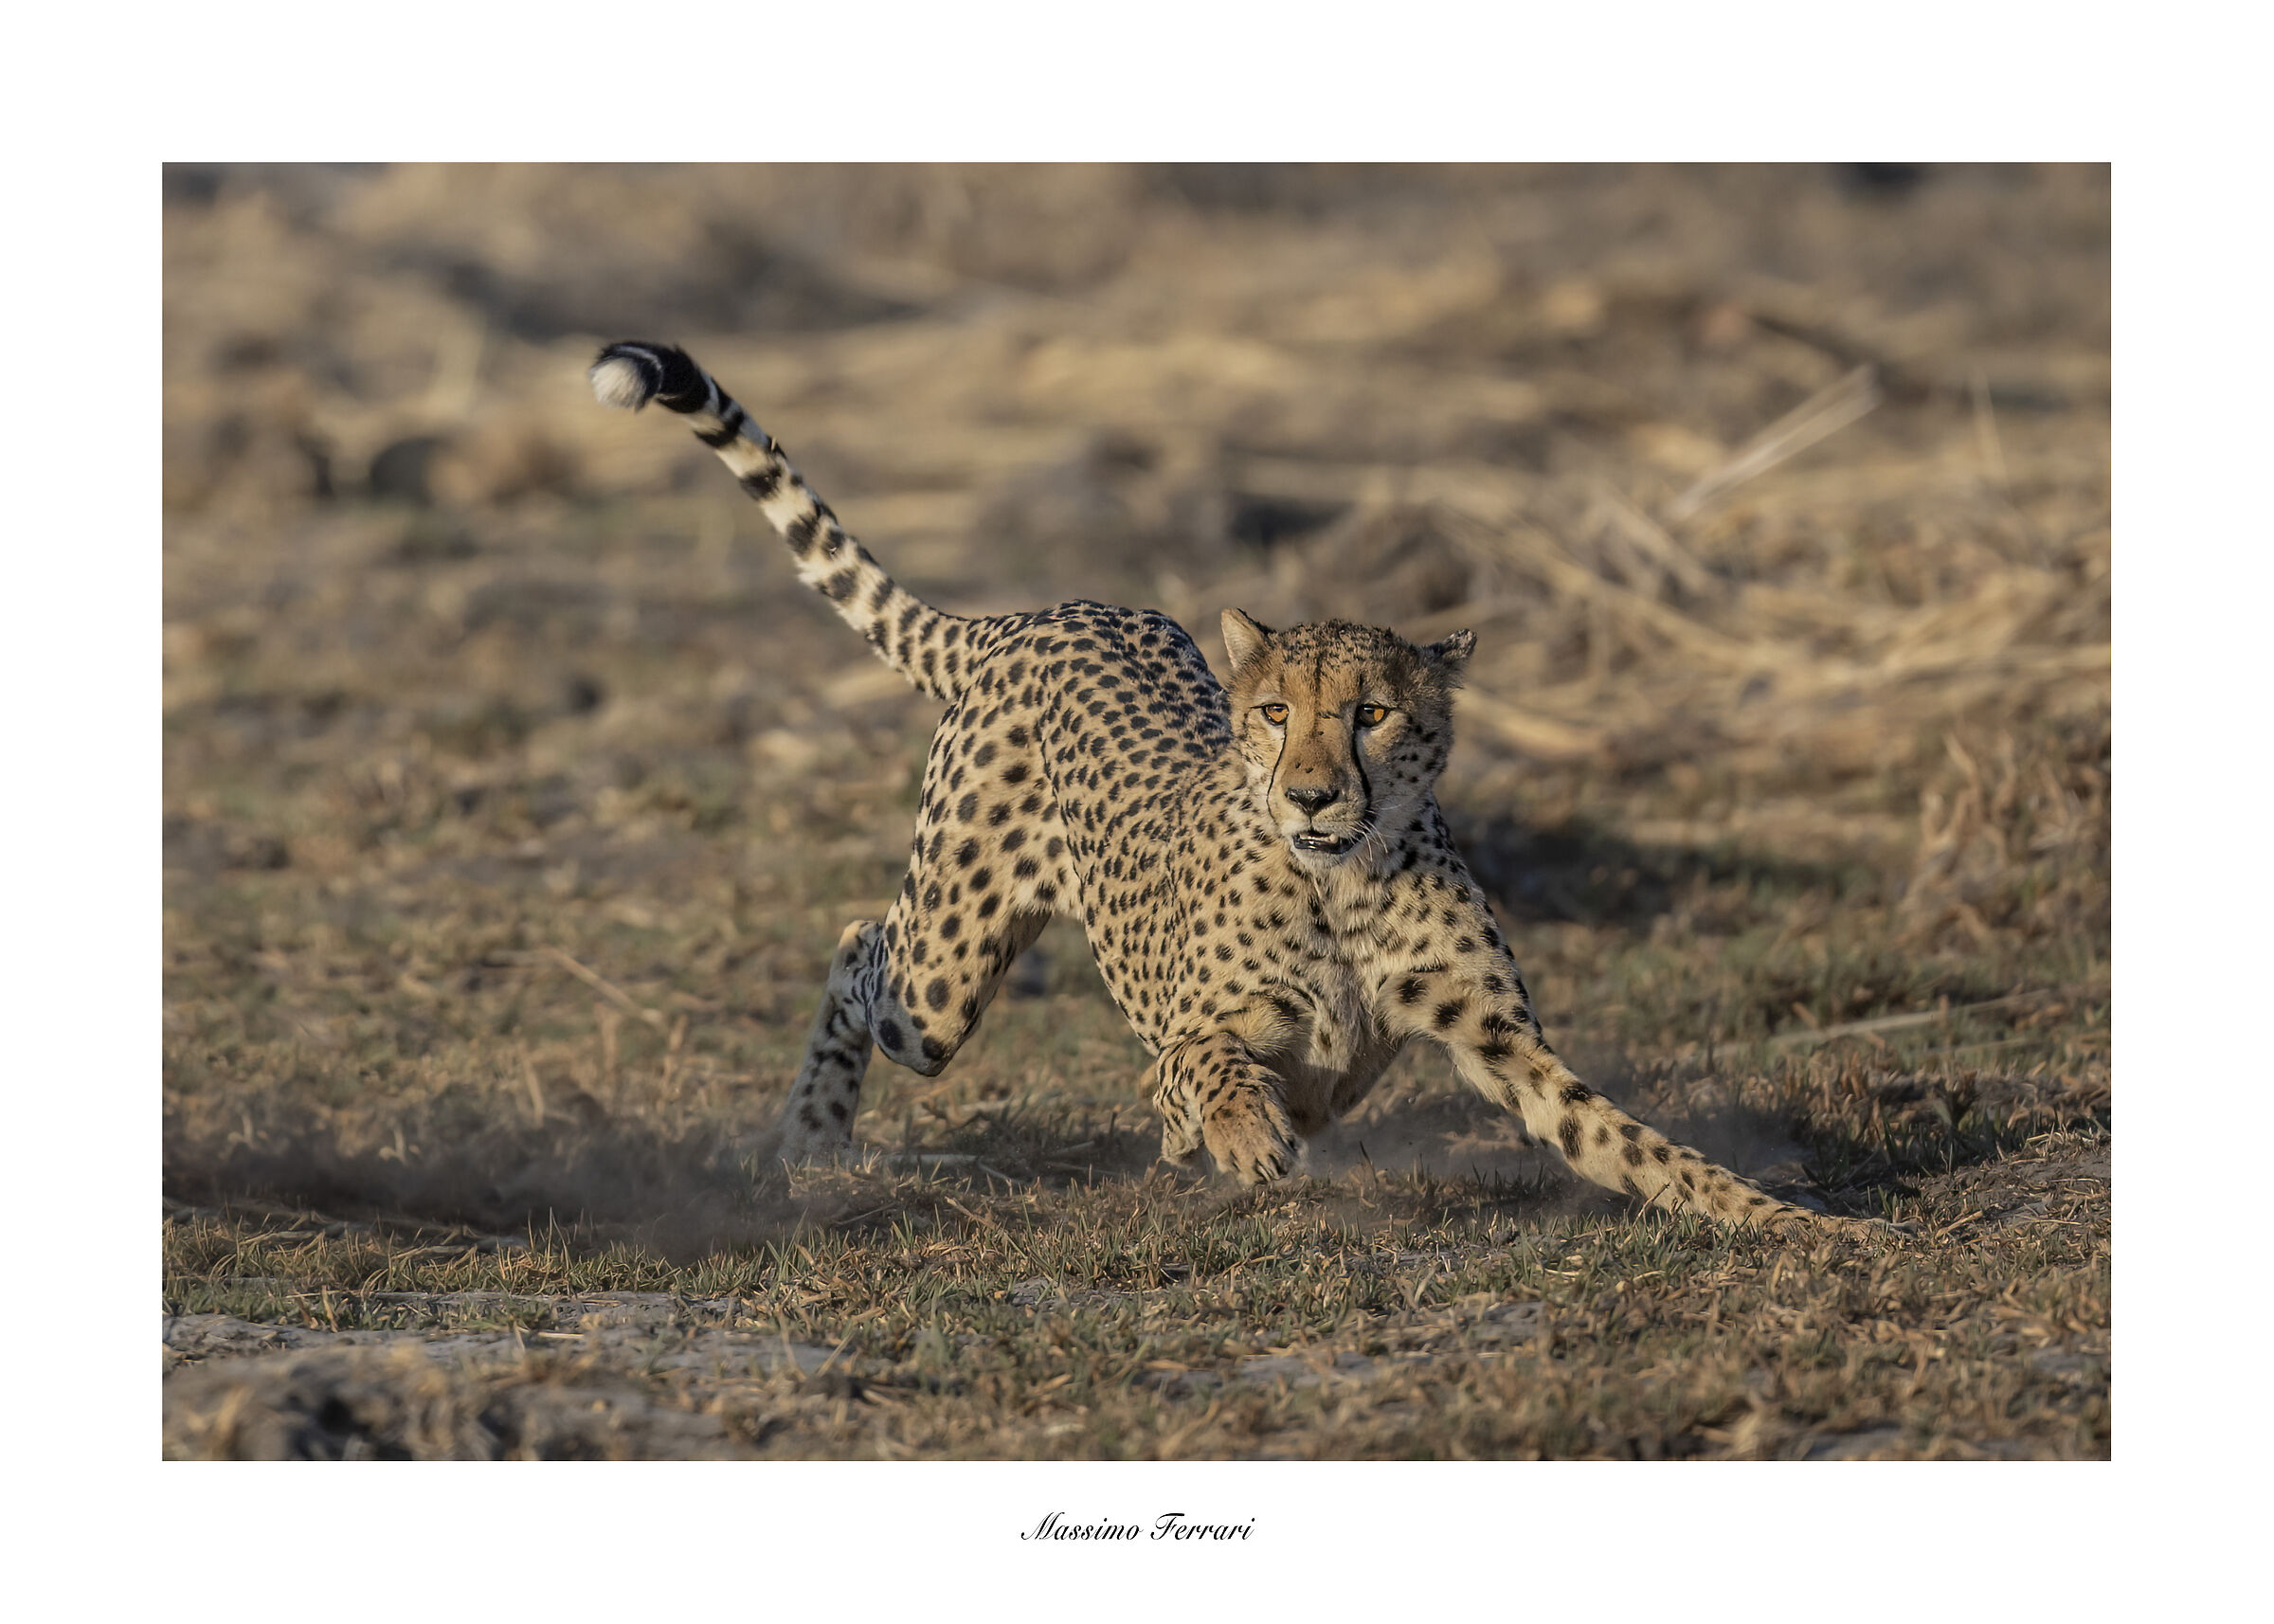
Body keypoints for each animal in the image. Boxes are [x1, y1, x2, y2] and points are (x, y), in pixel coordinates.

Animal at [589, 339, 1819, 1230]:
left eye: (1371, 714)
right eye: (1276, 714)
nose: (1312, 794)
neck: (1340, 881)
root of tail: (1042, 611)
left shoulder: (1496, 1038)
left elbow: (1630, 1140)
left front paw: (1788, 1223)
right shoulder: (1194, 1027)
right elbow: (1210, 1061)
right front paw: (1236, 1133)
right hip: (933, 993)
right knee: (859, 948)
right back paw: (811, 1141)